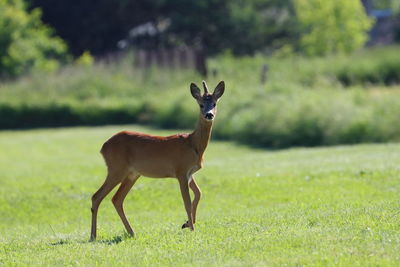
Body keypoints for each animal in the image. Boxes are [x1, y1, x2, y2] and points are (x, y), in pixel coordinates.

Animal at [90, 80, 225, 242]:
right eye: (201, 104)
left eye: (214, 103)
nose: (209, 115)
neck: (193, 144)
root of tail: (103, 147)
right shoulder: (180, 170)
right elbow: (186, 201)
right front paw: (192, 228)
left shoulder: (189, 173)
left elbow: (199, 193)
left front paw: (187, 223)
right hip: (116, 168)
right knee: (97, 196)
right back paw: (93, 236)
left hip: (132, 174)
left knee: (116, 199)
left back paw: (131, 232)